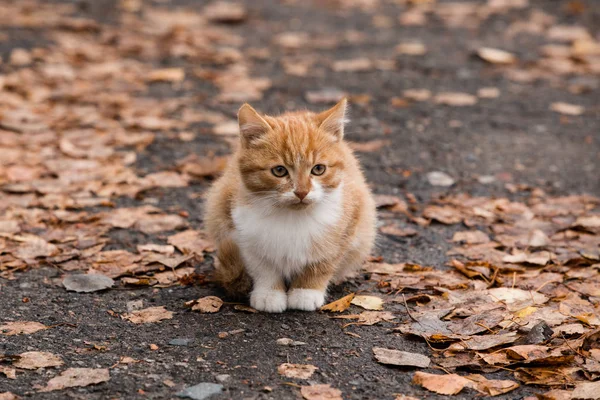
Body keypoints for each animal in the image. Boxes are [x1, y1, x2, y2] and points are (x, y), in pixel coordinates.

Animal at [205, 99, 376, 312]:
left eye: (318, 169)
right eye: (279, 170)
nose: (301, 192)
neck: (292, 217)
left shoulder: (350, 220)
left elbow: (323, 262)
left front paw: (306, 291)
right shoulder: (243, 233)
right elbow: (263, 267)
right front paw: (269, 293)